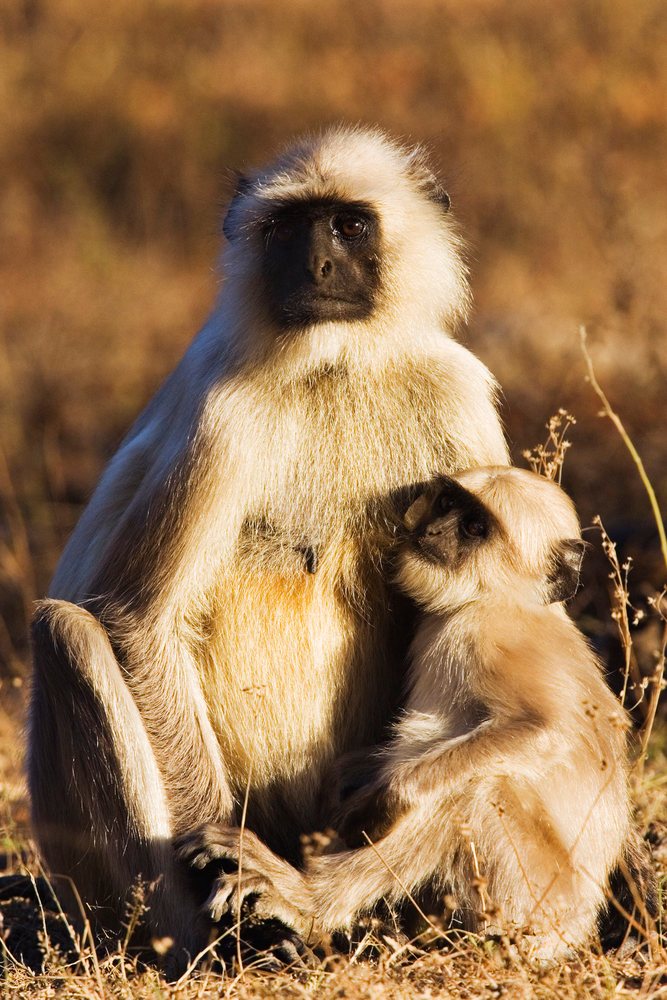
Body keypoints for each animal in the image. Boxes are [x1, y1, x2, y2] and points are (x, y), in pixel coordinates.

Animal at [28, 125, 510, 968]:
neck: (337, 364)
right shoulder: (222, 415)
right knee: (66, 633)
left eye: (347, 225)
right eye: (287, 230)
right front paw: (231, 879)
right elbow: (135, 619)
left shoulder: (457, 394)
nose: (315, 266)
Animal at [177, 467, 640, 963]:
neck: (498, 600)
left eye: (474, 528)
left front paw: (382, 799)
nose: (431, 531)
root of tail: (580, 927)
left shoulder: (489, 638)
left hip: (536, 904)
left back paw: (307, 901)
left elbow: (548, 727)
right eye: (446, 504)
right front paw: (346, 782)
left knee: (475, 792)